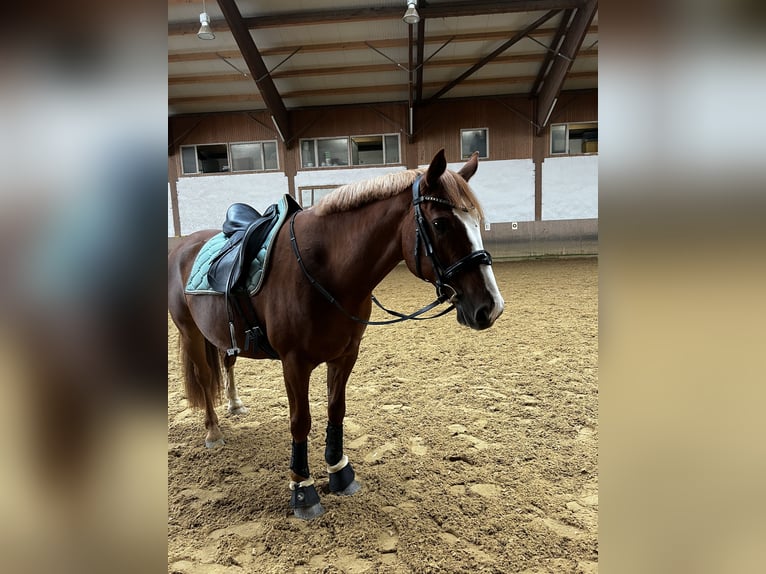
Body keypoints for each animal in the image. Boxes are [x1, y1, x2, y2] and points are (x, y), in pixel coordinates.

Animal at [168, 151, 504, 520]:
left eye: (476, 221)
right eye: (442, 223)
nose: (490, 307)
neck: (326, 269)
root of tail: (183, 245)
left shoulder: (345, 355)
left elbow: (335, 410)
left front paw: (339, 471)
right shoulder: (294, 363)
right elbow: (301, 421)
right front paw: (303, 489)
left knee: (227, 364)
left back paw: (234, 404)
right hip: (190, 332)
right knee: (203, 378)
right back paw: (213, 431)